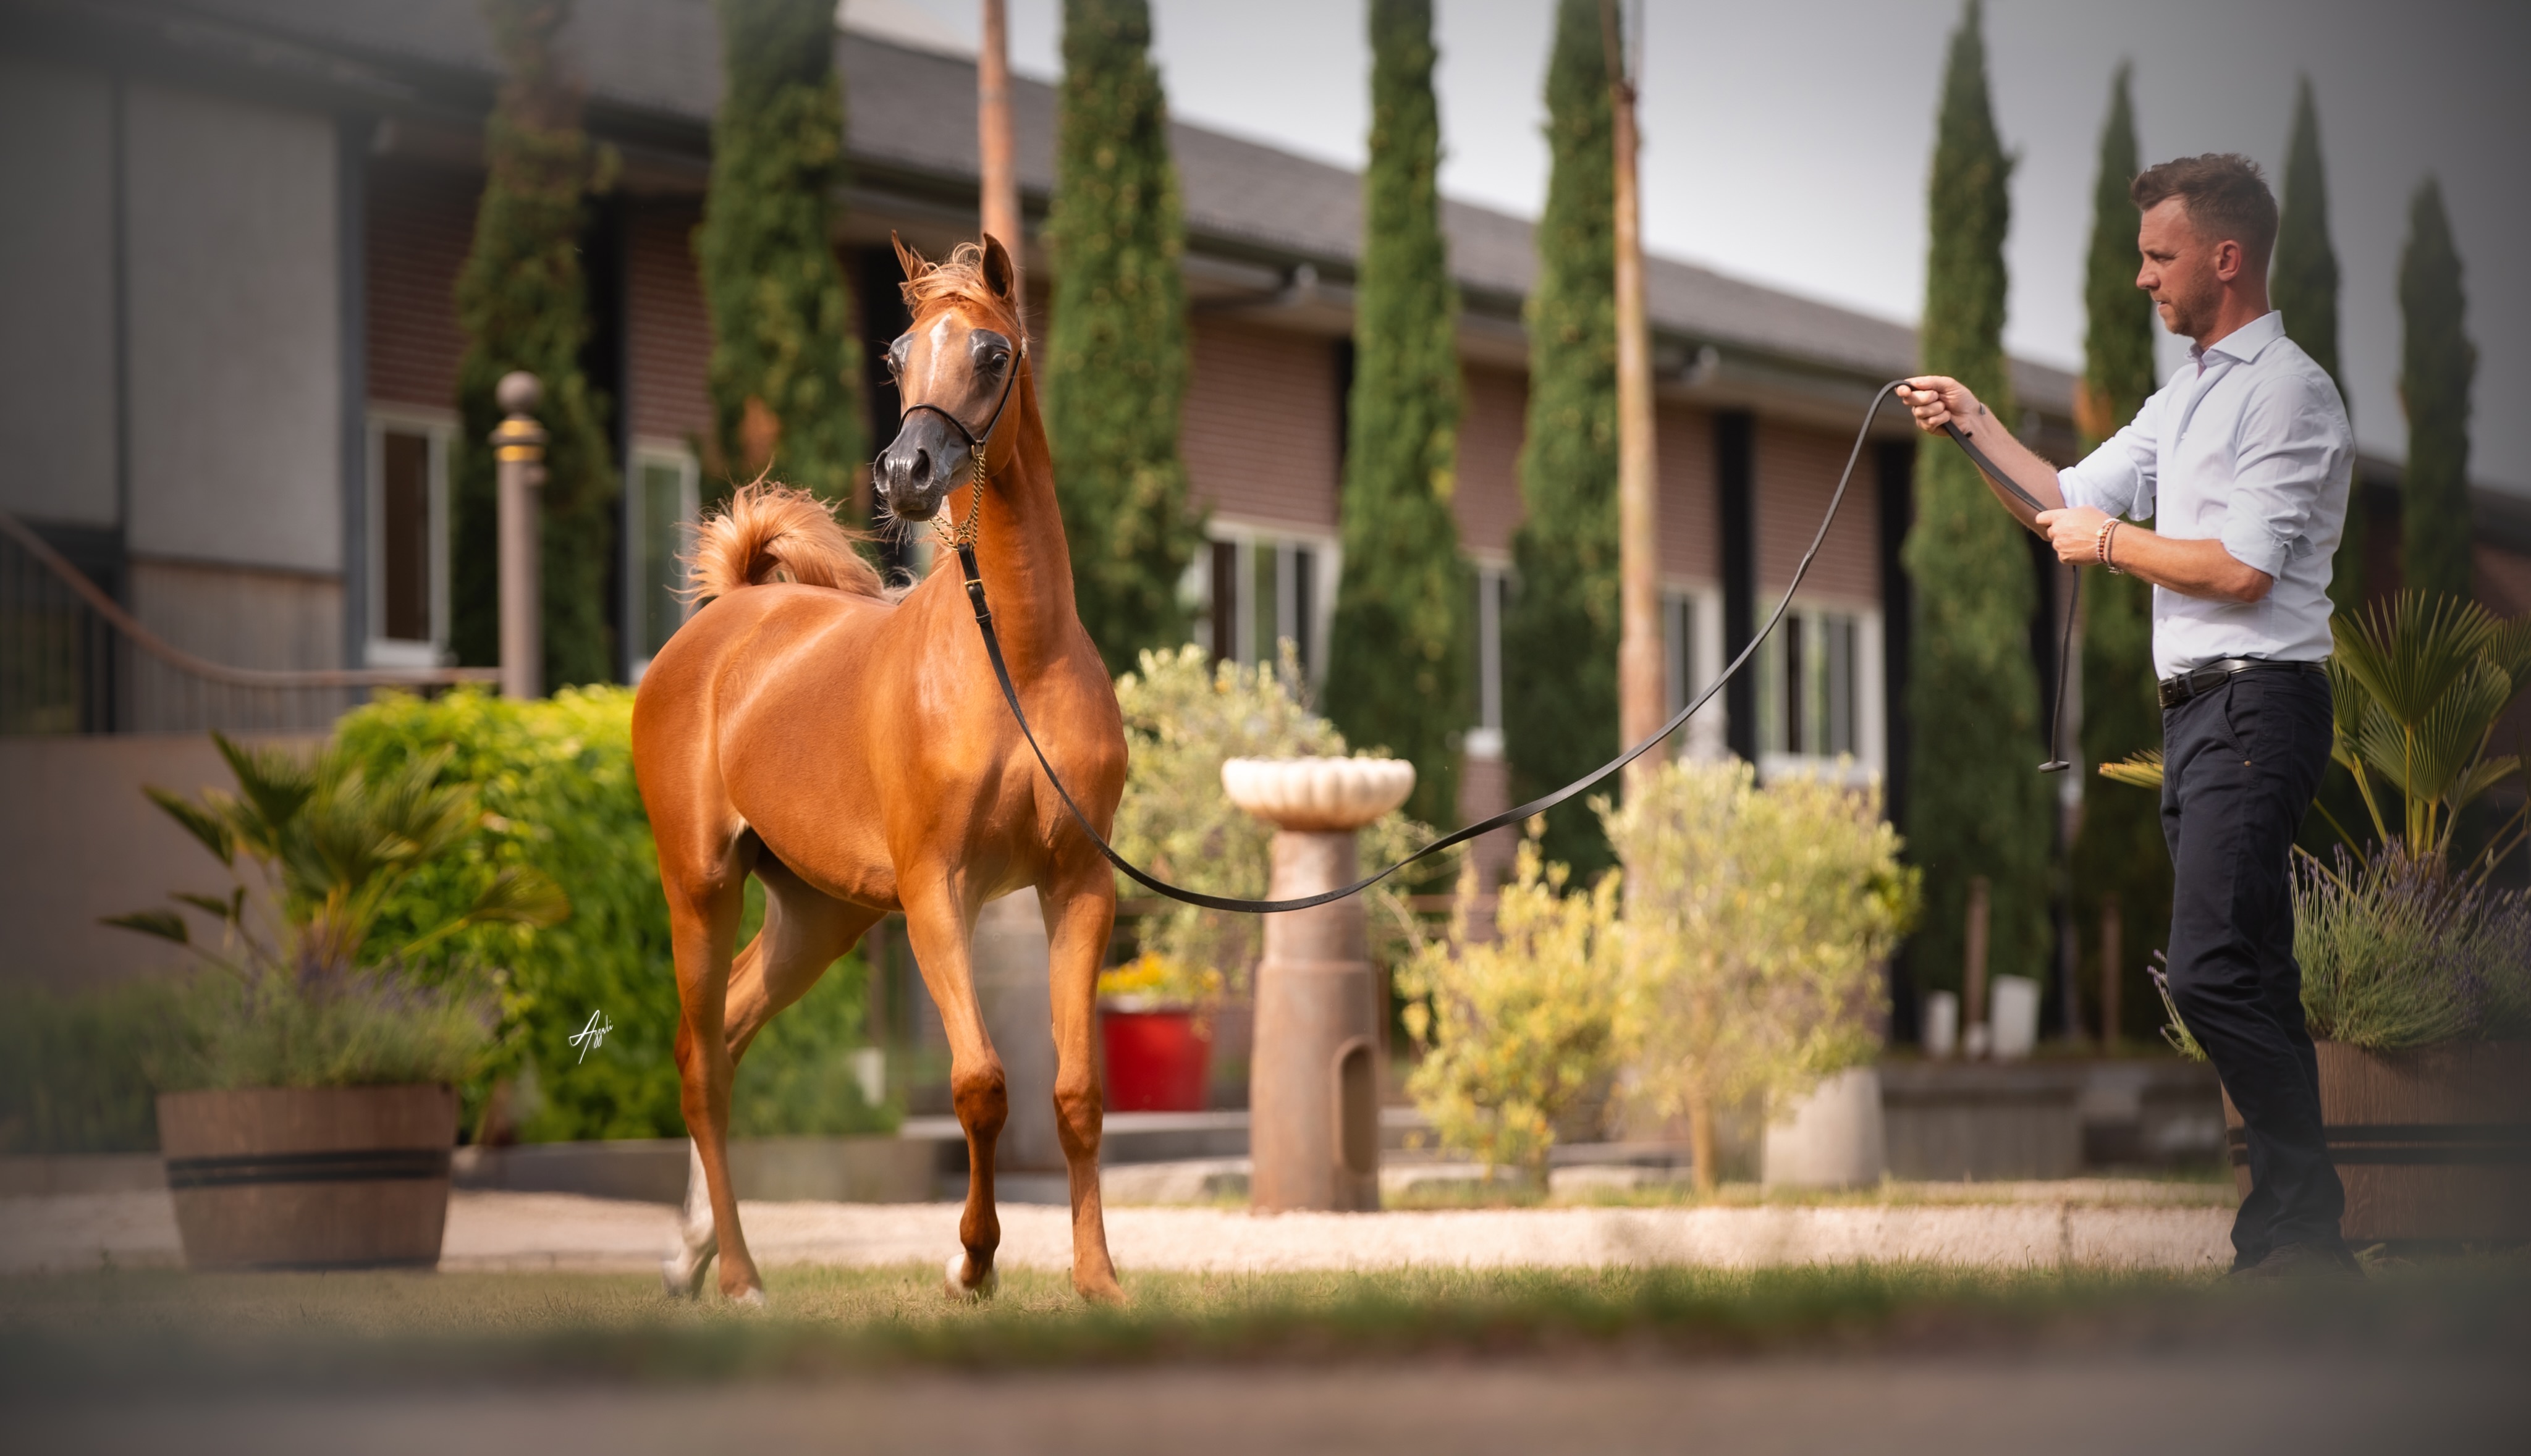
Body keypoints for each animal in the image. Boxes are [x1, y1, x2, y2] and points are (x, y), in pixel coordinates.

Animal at [631, 234, 1128, 1305]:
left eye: (992, 351)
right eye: (898, 354)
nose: (907, 470)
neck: (1015, 658)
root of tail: (728, 616)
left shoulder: (1080, 885)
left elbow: (1074, 1092)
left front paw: (1098, 1279)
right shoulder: (938, 890)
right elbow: (980, 1084)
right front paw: (971, 1261)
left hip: (818, 914)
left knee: (730, 1032)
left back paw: (690, 1250)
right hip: (701, 885)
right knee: (700, 1062)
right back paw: (738, 1275)